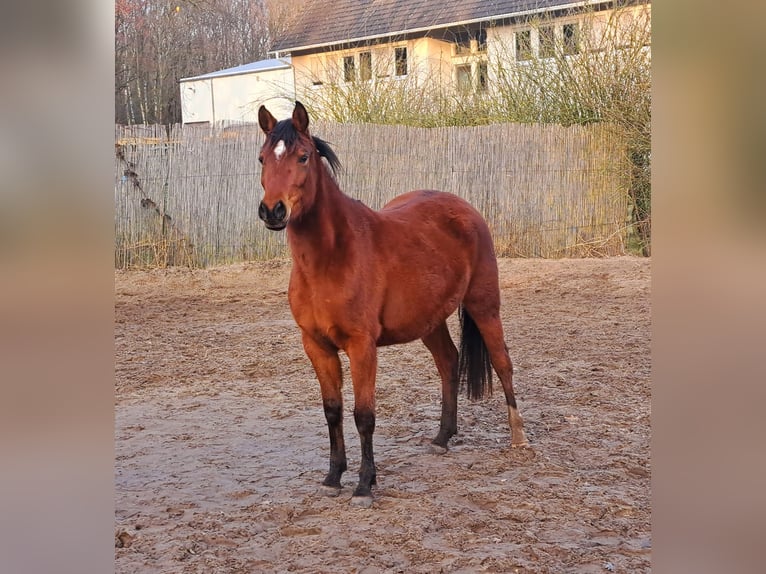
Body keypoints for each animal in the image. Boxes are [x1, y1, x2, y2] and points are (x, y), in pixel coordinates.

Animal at [258, 103, 528, 508]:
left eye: (303, 157)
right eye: (262, 158)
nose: (273, 211)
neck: (331, 258)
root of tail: (463, 207)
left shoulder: (362, 346)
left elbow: (364, 414)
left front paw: (364, 485)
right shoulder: (316, 345)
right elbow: (332, 411)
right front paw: (333, 477)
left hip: (484, 306)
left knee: (502, 363)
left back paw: (519, 438)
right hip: (430, 321)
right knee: (449, 362)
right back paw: (442, 438)